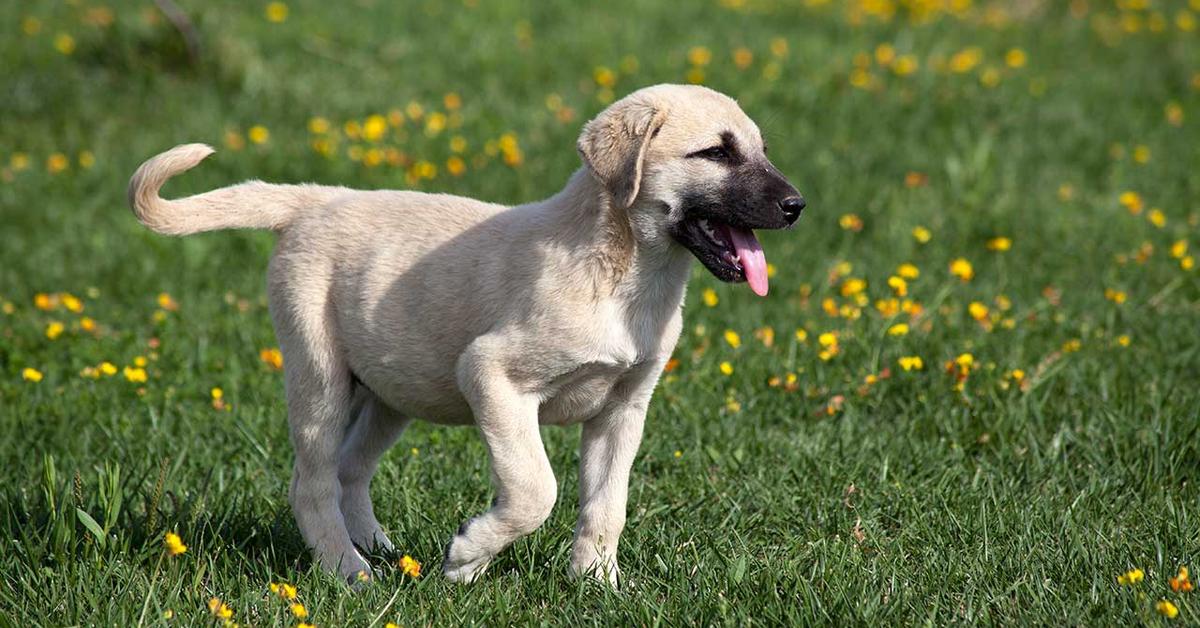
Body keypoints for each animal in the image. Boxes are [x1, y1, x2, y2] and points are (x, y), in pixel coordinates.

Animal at [129, 82, 806, 585]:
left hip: (391, 390)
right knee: (312, 483)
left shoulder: (624, 409)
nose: (797, 205)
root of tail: (318, 200)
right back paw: (350, 573)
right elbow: (535, 488)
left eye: (759, 149)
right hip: (318, 376)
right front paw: (467, 557)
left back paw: (378, 550)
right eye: (716, 153)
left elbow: (605, 504)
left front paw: (597, 585)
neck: (625, 274)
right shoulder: (492, 374)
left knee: (350, 470)